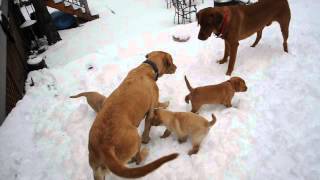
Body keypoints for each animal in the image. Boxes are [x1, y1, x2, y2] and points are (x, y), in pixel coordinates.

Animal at [87, 51, 178, 180]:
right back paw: (145, 152)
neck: (147, 68)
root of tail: (104, 147)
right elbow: (148, 126)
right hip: (135, 138)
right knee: (138, 159)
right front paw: (166, 104)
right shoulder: (151, 110)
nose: (176, 67)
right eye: (172, 61)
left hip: (97, 170)